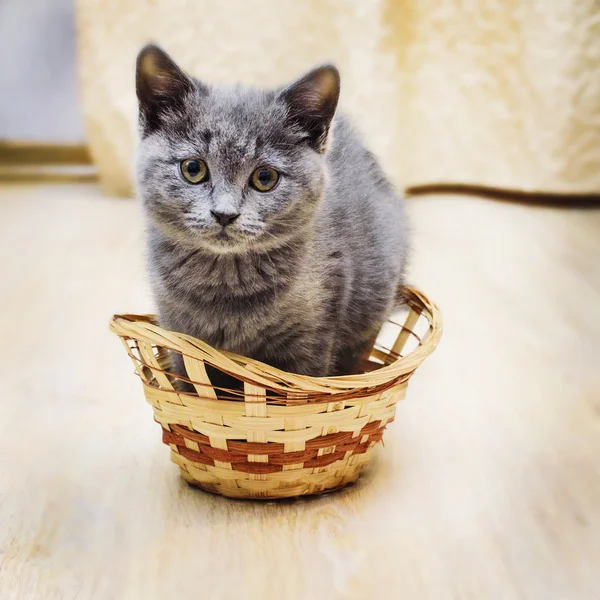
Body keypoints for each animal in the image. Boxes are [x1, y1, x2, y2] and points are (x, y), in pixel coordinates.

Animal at [135, 43, 408, 384]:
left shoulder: (312, 341)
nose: (224, 214)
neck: (224, 286)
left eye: (265, 178)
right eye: (193, 169)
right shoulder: (180, 338)